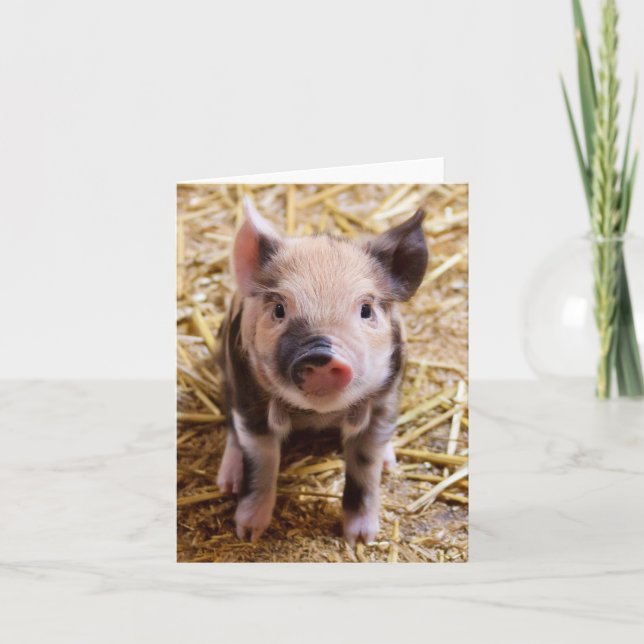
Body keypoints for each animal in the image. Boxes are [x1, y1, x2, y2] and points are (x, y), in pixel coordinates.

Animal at [216, 196, 428, 545]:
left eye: (366, 310)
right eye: (279, 309)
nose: (320, 354)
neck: (319, 415)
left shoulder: (384, 401)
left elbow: (365, 467)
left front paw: (361, 539)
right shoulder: (249, 400)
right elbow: (261, 462)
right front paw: (248, 533)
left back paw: (390, 463)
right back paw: (227, 484)